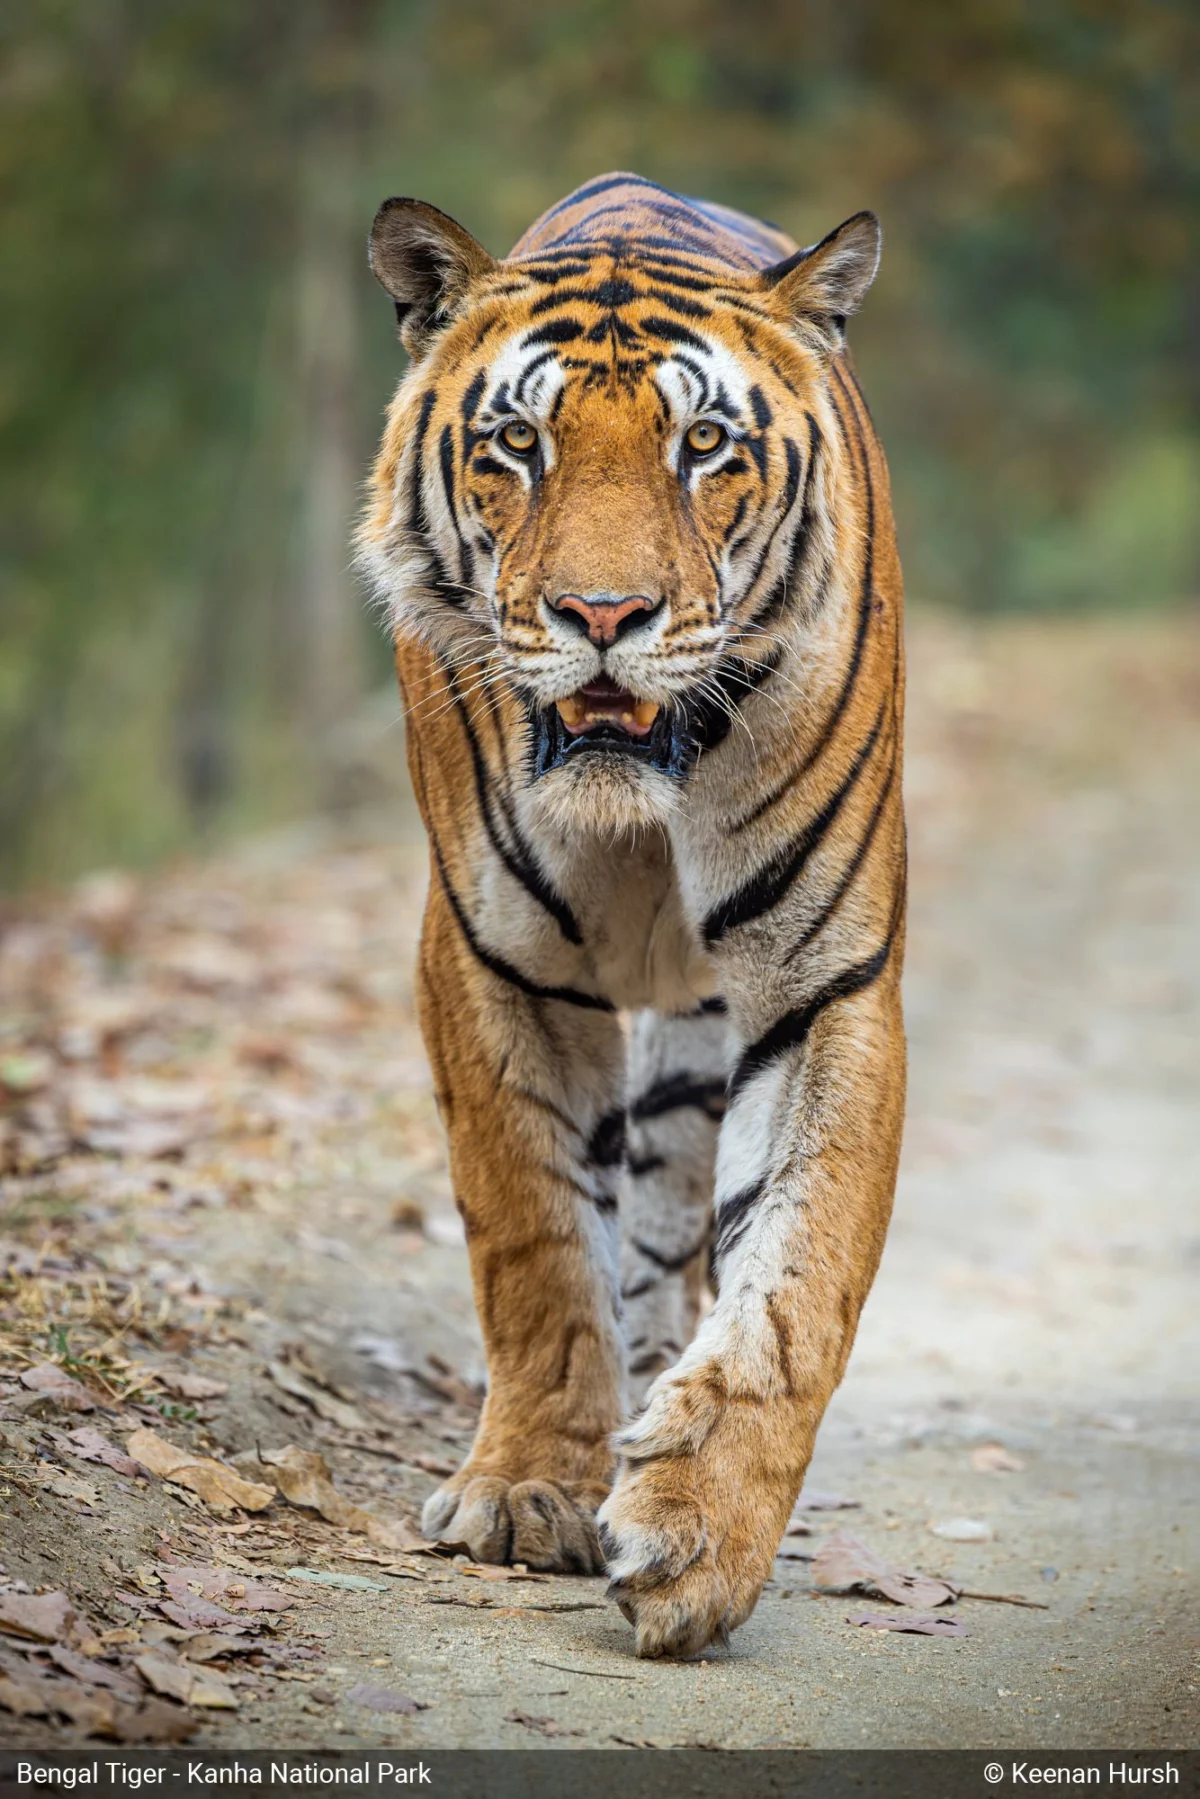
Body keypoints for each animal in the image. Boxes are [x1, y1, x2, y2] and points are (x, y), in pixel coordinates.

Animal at [359, 172, 906, 1659]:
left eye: (703, 444)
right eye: (519, 444)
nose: (603, 613)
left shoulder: (824, 985)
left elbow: (798, 1281)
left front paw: (699, 1531)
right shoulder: (491, 958)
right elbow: (537, 1238)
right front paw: (525, 1490)